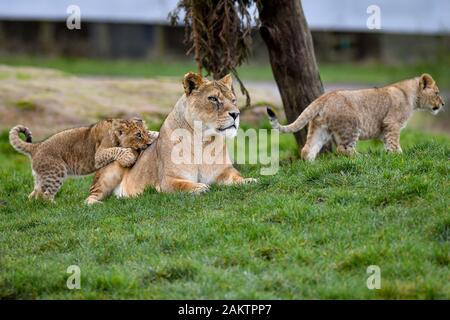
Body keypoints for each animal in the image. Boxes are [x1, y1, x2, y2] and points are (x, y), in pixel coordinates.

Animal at [85, 72, 256, 202]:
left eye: (233, 100)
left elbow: (237, 177)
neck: (202, 141)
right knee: (90, 197)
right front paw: (200, 187)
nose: (236, 114)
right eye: (213, 99)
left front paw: (249, 180)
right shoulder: (167, 180)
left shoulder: (224, 172)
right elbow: (183, 185)